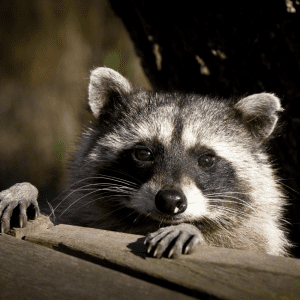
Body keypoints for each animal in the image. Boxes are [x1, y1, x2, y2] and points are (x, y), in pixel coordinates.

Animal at [0, 67, 290, 258]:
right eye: (144, 154)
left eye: (206, 159)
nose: (170, 201)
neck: (150, 222)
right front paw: (24, 190)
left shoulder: (255, 237)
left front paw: (190, 228)